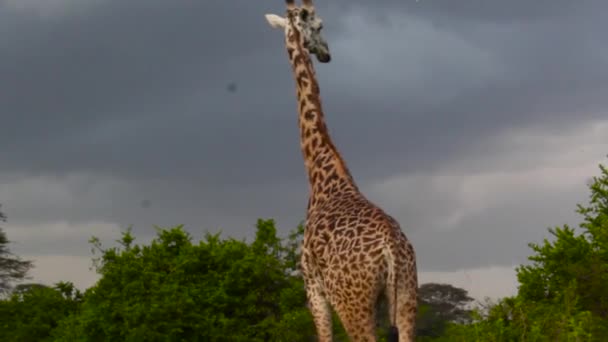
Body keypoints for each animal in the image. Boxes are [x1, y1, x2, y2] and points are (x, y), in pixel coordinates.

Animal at [266, 1, 418, 340]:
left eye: (320, 24)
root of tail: (391, 251)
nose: (326, 53)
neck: (321, 175)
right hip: (406, 297)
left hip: (352, 302)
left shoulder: (312, 286)